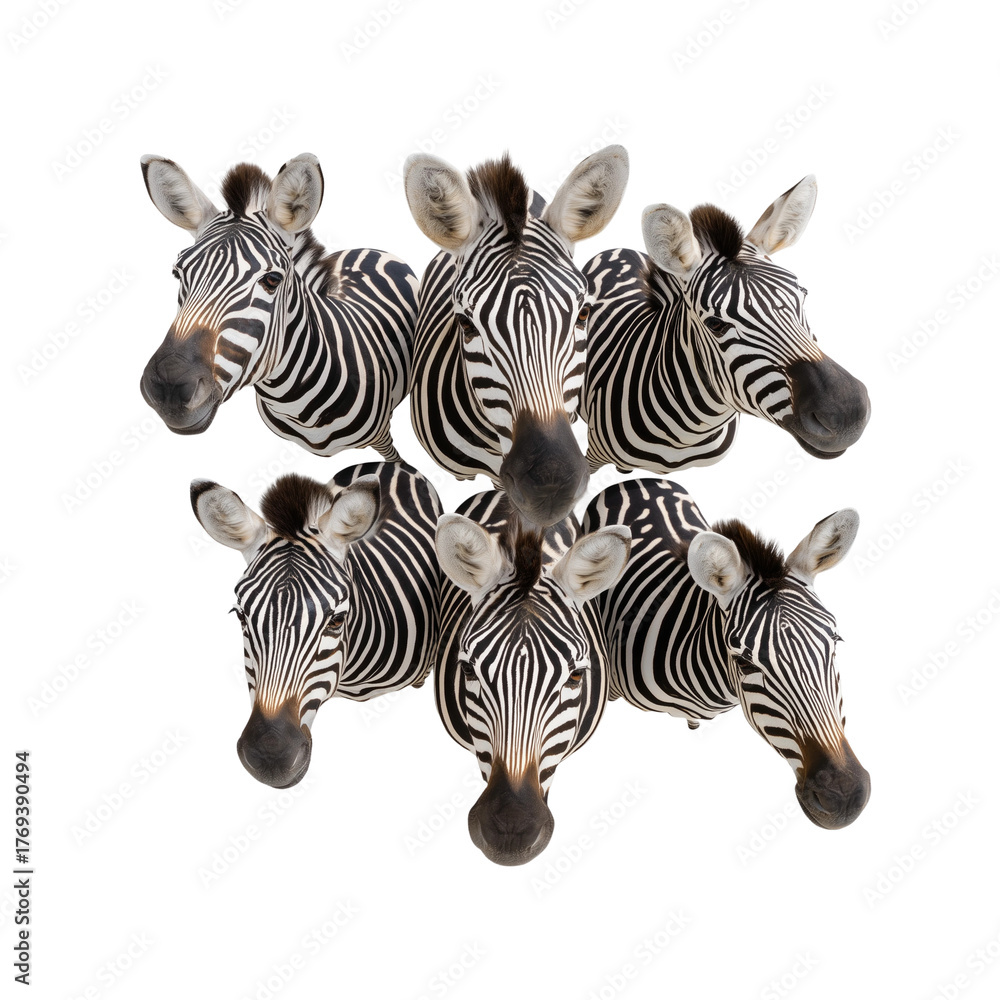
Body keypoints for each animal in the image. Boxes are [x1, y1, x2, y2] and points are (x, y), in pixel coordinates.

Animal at [140, 153, 417, 460]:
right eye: (178, 273)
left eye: (272, 280)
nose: (168, 388)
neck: (293, 402)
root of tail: (367, 249)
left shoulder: (382, 436)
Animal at [582, 176, 870, 474]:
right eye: (715, 324)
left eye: (802, 295)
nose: (847, 413)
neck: (688, 433)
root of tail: (618, 249)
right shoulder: (590, 457)